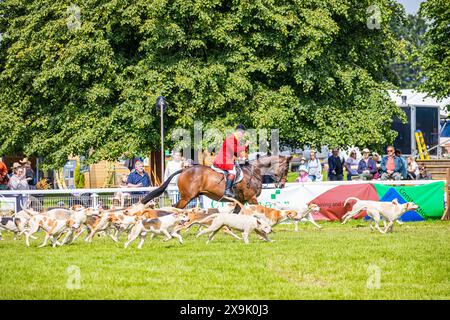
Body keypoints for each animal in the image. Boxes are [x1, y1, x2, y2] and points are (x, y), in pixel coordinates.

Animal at [142, 155, 296, 208]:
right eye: (286, 169)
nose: (282, 185)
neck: (254, 171)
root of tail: (185, 170)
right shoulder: (251, 198)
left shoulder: (241, 200)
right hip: (187, 197)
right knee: (176, 208)